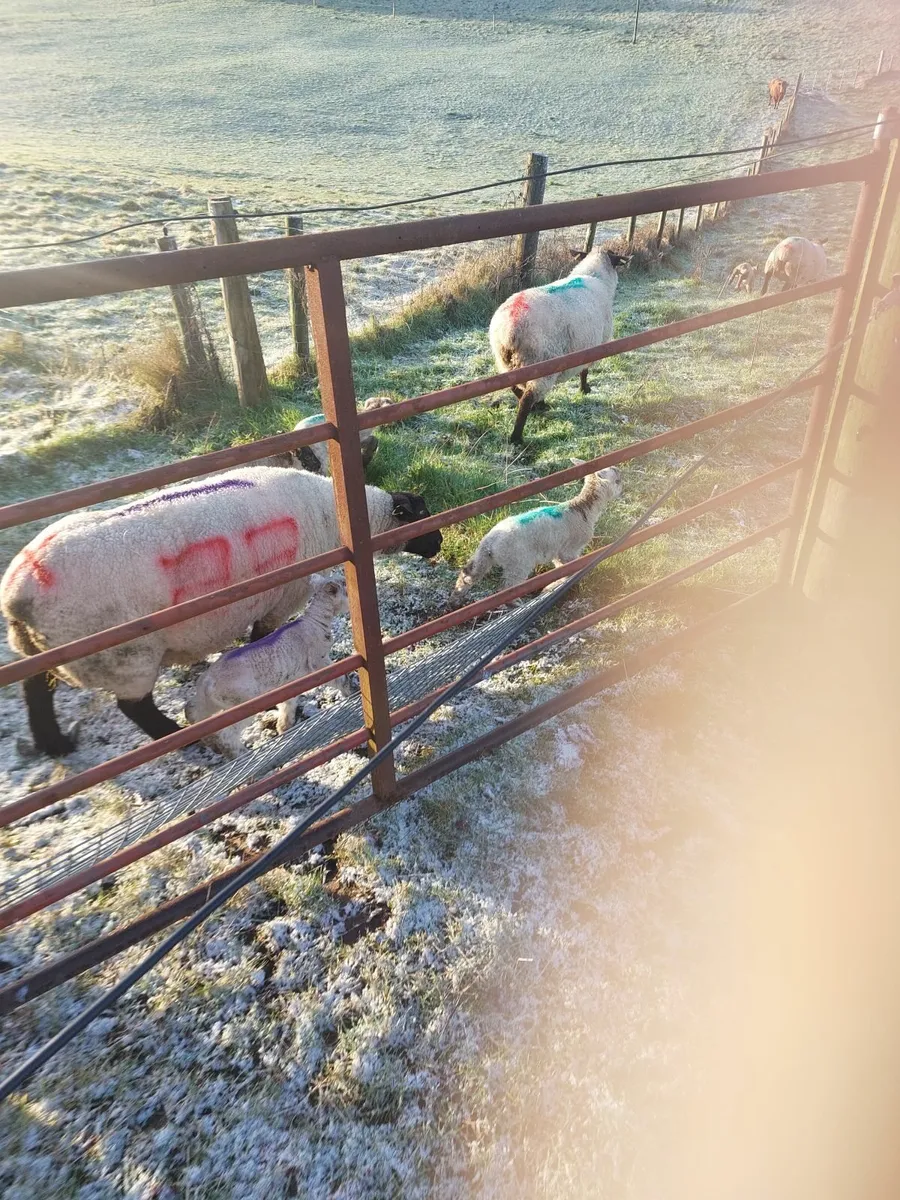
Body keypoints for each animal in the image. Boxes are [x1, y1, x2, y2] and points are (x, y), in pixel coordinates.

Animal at [184, 572, 351, 756]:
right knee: (227, 734)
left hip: (211, 703)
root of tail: (207, 680)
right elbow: (339, 677)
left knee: (194, 712)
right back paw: (238, 753)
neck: (315, 621)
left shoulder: (291, 679)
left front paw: (284, 727)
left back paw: (211, 743)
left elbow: (288, 701)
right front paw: (349, 692)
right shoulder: (318, 660)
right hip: (242, 701)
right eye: (345, 586)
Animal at [451, 466, 624, 605]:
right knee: (507, 587)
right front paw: (557, 585)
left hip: (483, 557)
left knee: (469, 573)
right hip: (518, 562)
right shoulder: (570, 549)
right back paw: (515, 603)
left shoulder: (558, 550)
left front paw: (552, 586)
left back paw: (457, 595)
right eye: (617, 480)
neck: (583, 509)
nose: (624, 488)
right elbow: (570, 568)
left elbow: (560, 568)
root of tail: (490, 542)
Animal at [488, 248, 629, 445]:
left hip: (506, 363)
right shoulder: (592, 345)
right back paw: (518, 436)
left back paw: (536, 408)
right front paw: (585, 389)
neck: (596, 278)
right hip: (541, 363)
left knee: (516, 388)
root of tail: (508, 330)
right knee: (527, 398)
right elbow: (584, 371)